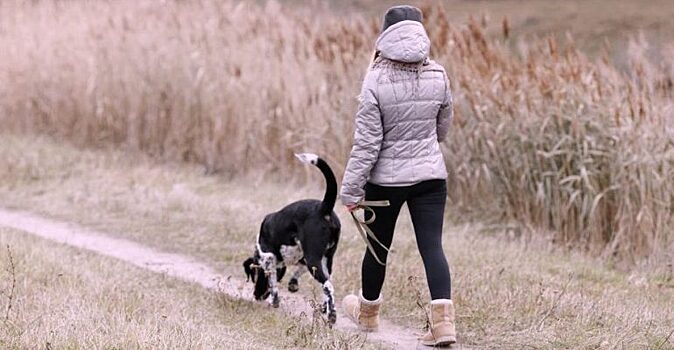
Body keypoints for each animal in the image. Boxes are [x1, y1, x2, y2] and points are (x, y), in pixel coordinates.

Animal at [242, 154, 338, 324]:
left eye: (255, 275)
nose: (256, 295)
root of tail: (324, 208)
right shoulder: (303, 260)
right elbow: (297, 272)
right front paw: (293, 283)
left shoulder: (268, 258)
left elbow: (273, 282)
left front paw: (274, 301)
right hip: (326, 259)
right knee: (328, 284)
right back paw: (325, 309)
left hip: (314, 259)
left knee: (328, 286)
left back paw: (331, 314)